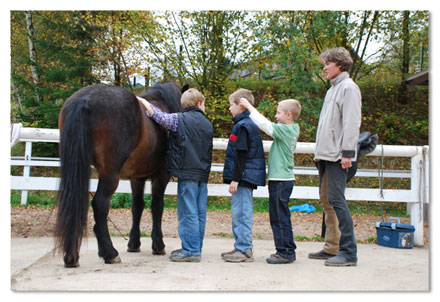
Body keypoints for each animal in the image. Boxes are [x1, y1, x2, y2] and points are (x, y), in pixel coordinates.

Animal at [54, 81, 186, 266]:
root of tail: (84, 99)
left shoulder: (136, 178)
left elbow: (137, 206)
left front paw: (134, 243)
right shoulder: (161, 176)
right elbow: (157, 206)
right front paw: (158, 245)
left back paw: (71, 256)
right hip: (110, 173)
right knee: (100, 204)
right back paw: (109, 253)